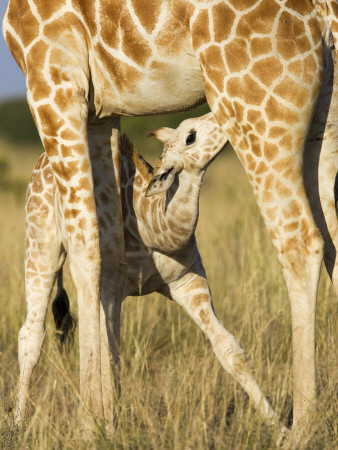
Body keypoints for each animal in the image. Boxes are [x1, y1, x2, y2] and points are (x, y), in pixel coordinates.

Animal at [16, 112, 278, 426]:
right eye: (190, 136)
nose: (224, 115)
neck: (155, 227)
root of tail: (43, 159)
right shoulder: (108, 289)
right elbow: (109, 362)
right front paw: (108, 425)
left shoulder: (188, 281)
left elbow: (229, 349)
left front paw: (278, 424)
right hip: (41, 248)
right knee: (31, 336)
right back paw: (17, 423)